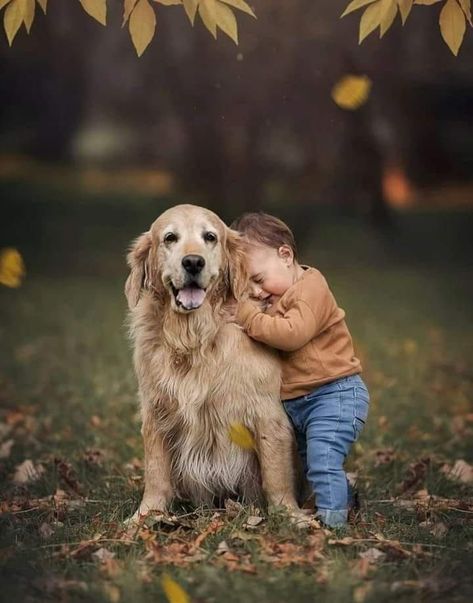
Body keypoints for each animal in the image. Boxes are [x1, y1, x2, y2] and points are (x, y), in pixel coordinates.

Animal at [123, 204, 304, 524]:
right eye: (170, 238)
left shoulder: (267, 413)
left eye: (210, 237)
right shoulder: (156, 411)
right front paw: (145, 516)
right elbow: (156, 474)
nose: (193, 262)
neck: (194, 340)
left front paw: (290, 516)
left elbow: (276, 475)